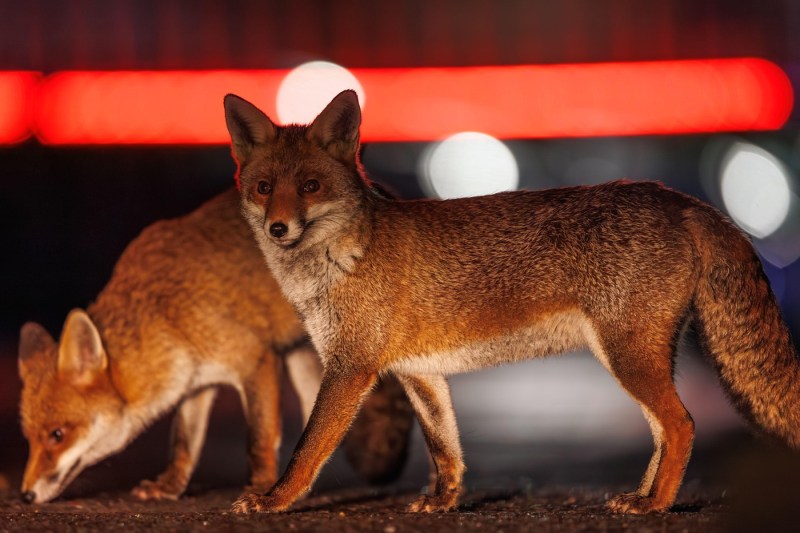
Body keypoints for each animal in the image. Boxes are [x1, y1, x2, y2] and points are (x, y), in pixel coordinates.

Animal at [17, 188, 413, 505]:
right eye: (31, 439)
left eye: (56, 435)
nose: (25, 496)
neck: (166, 314)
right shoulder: (196, 382)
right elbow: (184, 443)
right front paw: (170, 488)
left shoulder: (255, 359)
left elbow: (259, 438)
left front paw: (261, 488)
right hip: (301, 357)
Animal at [222, 89, 800, 516]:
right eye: (264, 188)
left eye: (311, 186)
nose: (278, 228)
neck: (344, 256)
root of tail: (679, 198)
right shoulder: (420, 374)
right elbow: (446, 450)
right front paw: (443, 503)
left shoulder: (349, 367)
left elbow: (307, 448)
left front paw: (274, 500)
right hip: (633, 357)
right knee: (664, 431)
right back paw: (643, 494)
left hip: (627, 356)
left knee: (682, 426)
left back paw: (655, 507)